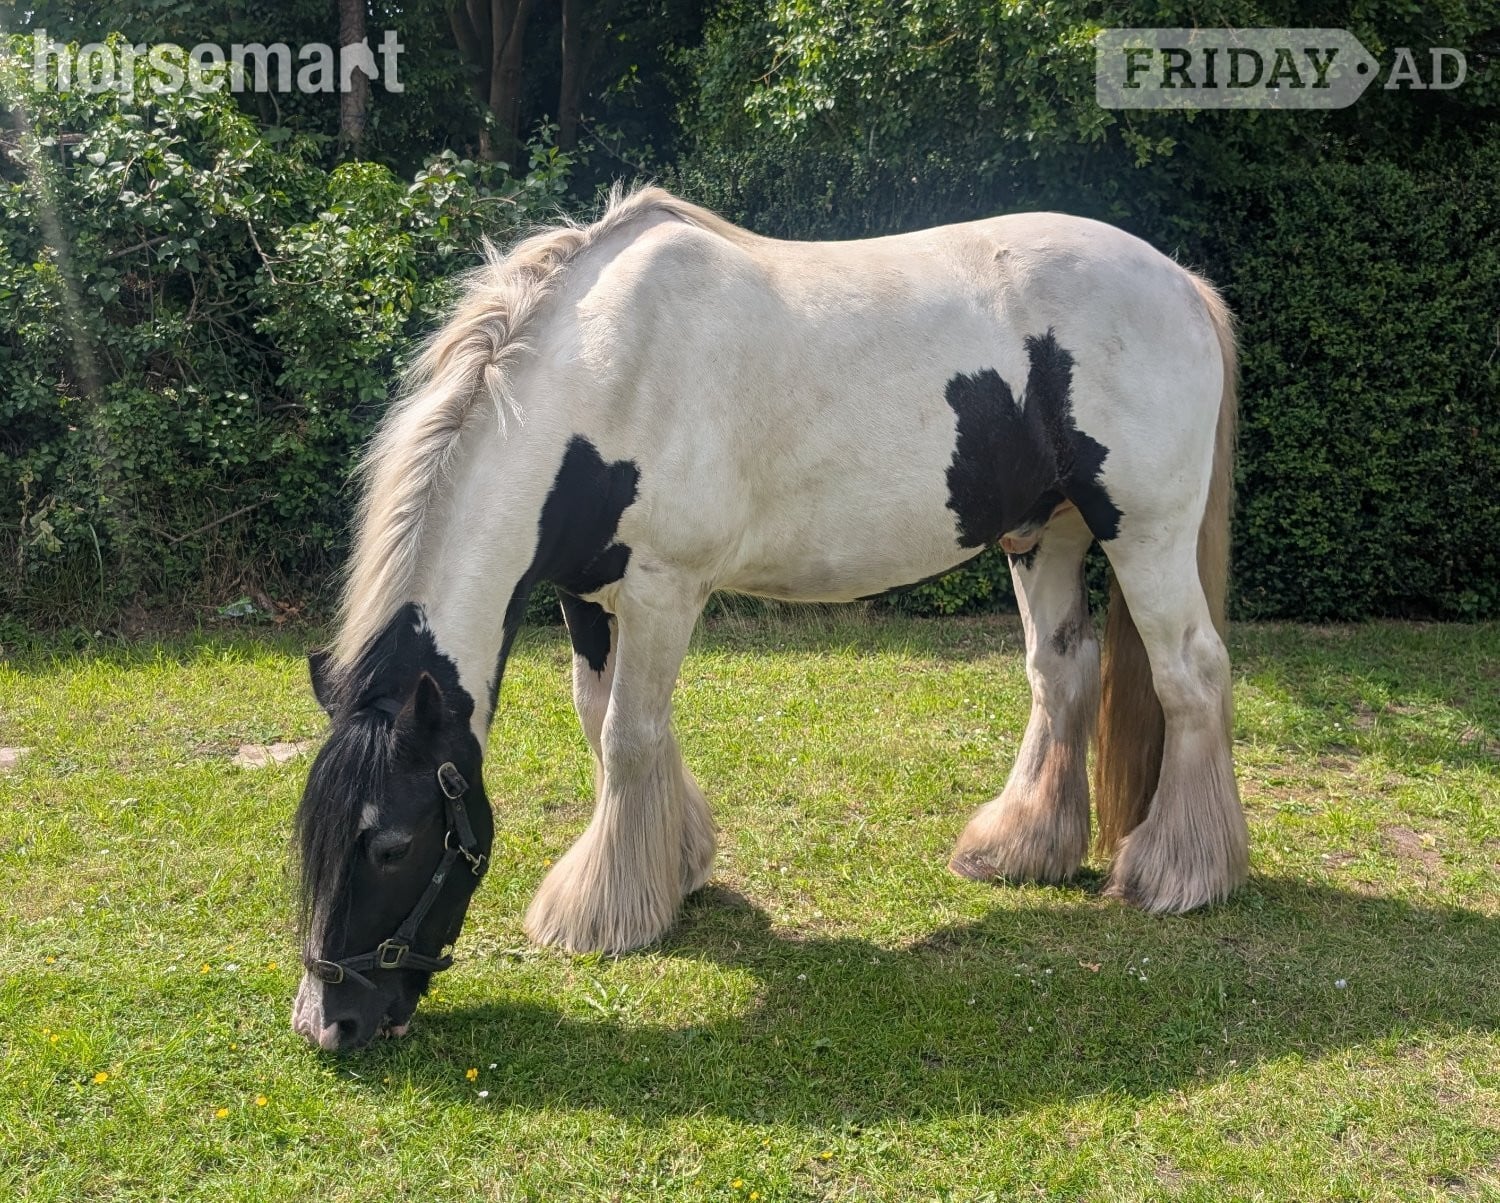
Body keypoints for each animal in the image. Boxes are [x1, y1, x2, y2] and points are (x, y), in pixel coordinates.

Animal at [290, 185, 1248, 1051]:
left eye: (391, 844)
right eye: (312, 838)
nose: (328, 1023)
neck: (605, 375)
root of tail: (1181, 283)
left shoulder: (665, 589)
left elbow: (629, 736)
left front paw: (606, 913)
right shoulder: (587, 596)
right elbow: (602, 721)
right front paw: (679, 865)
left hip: (1143, 531)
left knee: (1191, 674)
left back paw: (1180, 873)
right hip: (1044, 532)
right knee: (1061, 672)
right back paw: (1020, 849)